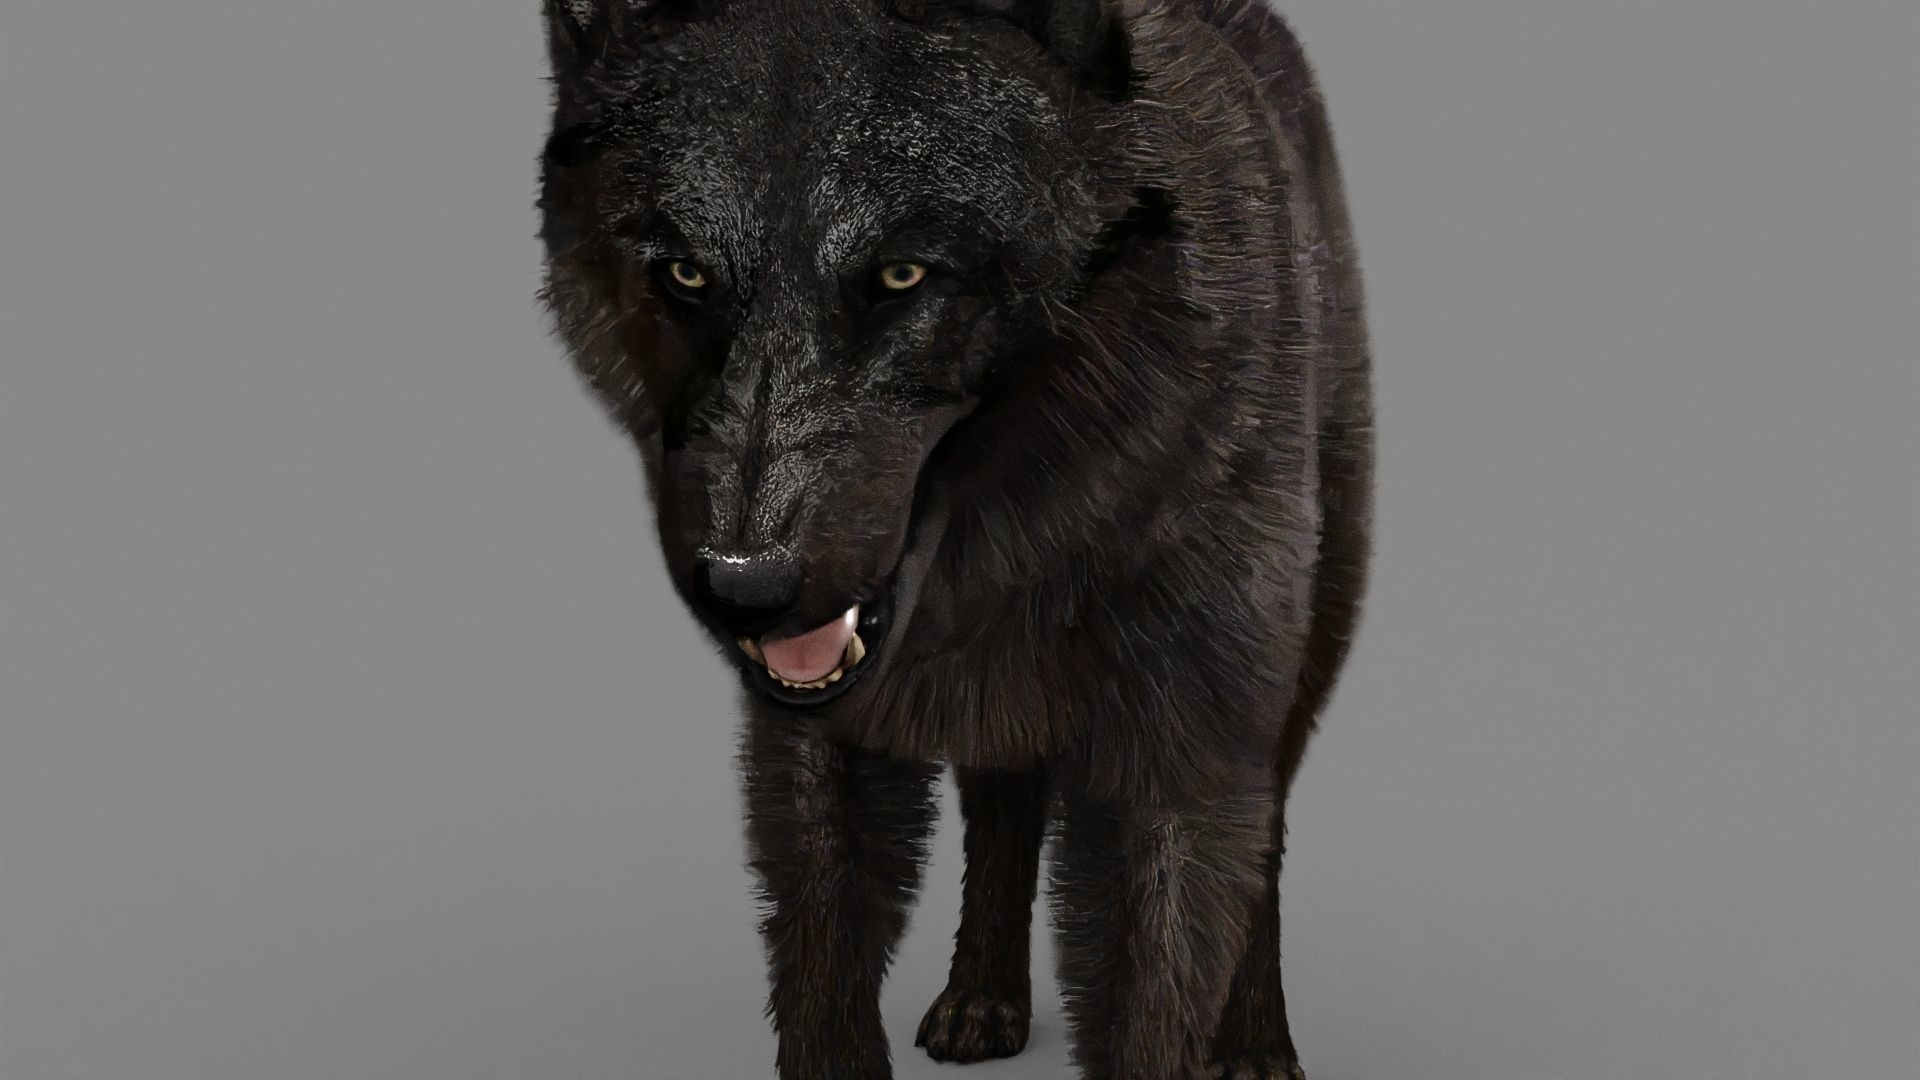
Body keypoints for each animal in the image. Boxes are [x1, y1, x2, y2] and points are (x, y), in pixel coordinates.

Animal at [537, 0, 1371, 1074]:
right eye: (686, 273)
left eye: (901, 274)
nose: (745, 588)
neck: (1015, 557)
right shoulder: (812, 747)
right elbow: (824, 965)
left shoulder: (1176, 748)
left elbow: (1160, 982)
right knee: (1003, 807)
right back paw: (982, 998)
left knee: (1261, 832)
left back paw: (1258, 1040)